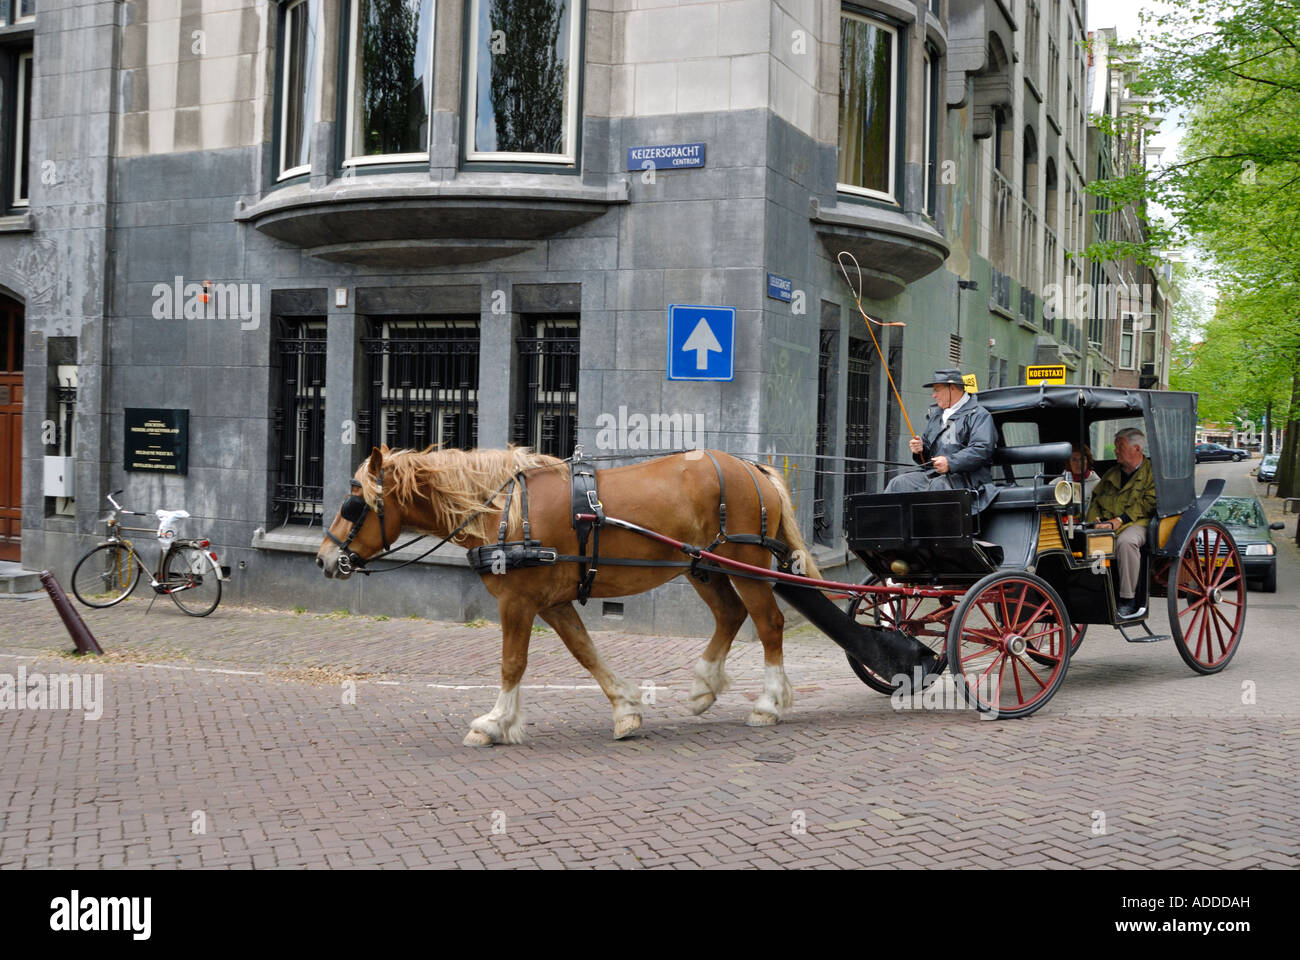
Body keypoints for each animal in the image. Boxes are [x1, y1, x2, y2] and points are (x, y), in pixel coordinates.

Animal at [315, 444, 816, 744]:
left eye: (353, 504)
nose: (323, 559)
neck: (504, 512)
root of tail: (751, 467)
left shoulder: (516, 601)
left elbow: (512, 663)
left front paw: (494, 723)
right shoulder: (553, 603)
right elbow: (585, 652)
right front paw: (626, 709)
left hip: (745, 565)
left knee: (768, 623)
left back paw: (768, 705)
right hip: (704, 568)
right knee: (730, 616)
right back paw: (702, 689)